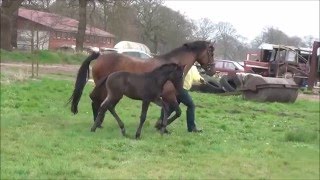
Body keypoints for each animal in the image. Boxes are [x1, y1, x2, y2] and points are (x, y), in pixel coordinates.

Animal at [69, 40, 215, 130]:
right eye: (211, 52)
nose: (213, 70)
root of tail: (100, 56)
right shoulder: (169, 95)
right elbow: (177, 112)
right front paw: (162, 125)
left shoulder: (168, 95)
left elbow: (170, 110)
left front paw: (160, 124)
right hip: (106, 89)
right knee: (97, 100)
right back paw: (98, 123)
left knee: (100, 102)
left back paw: (99, 122)